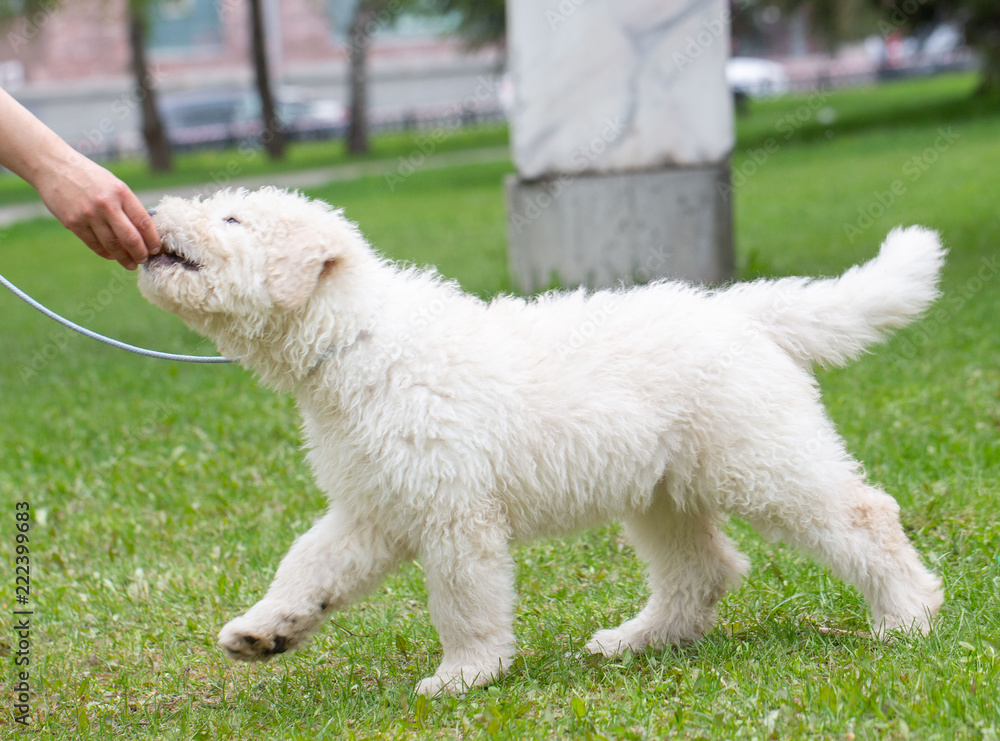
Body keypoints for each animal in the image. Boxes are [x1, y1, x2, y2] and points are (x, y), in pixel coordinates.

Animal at [137, 188, 940, 696]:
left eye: (231, 216)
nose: (150, 213)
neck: (358, 342)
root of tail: (743, 309)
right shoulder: (374, 504)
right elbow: (307, 564)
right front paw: (263, 631)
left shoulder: (454, 512)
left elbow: (463, 599)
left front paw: (465, 674)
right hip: (662, 489)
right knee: (704, 568)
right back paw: (638, 639)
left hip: (762, 459)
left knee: (864, 515)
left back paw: (907, 614)